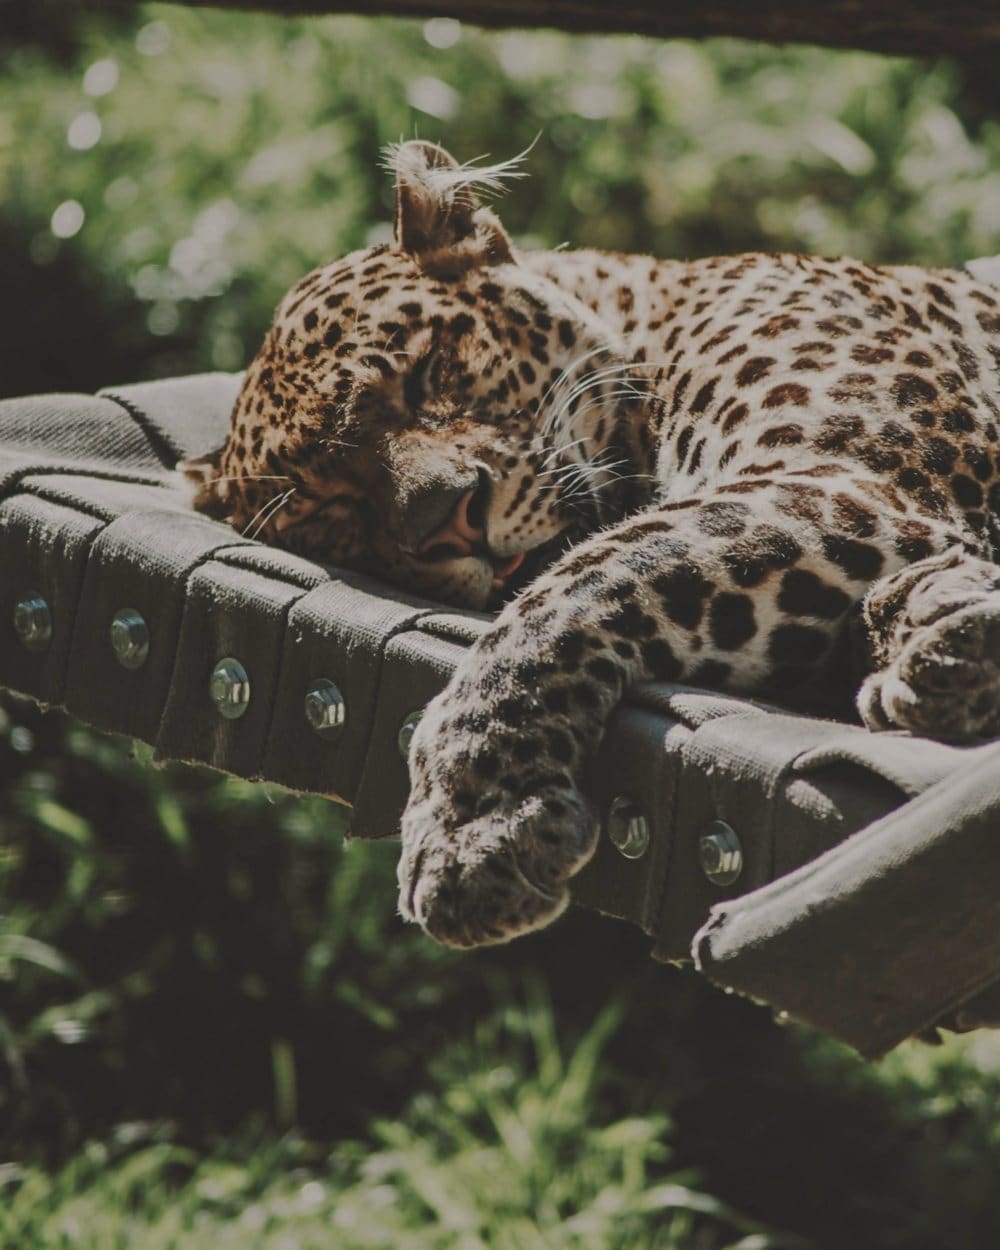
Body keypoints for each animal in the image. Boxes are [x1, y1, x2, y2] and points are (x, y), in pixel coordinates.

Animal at [186, 140, 1000, 949]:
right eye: (335, 507)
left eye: (425, 374)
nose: (450, 520)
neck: (655, 313)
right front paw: (940, 633)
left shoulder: (853, 480)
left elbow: (578, 584)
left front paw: (474, 822)